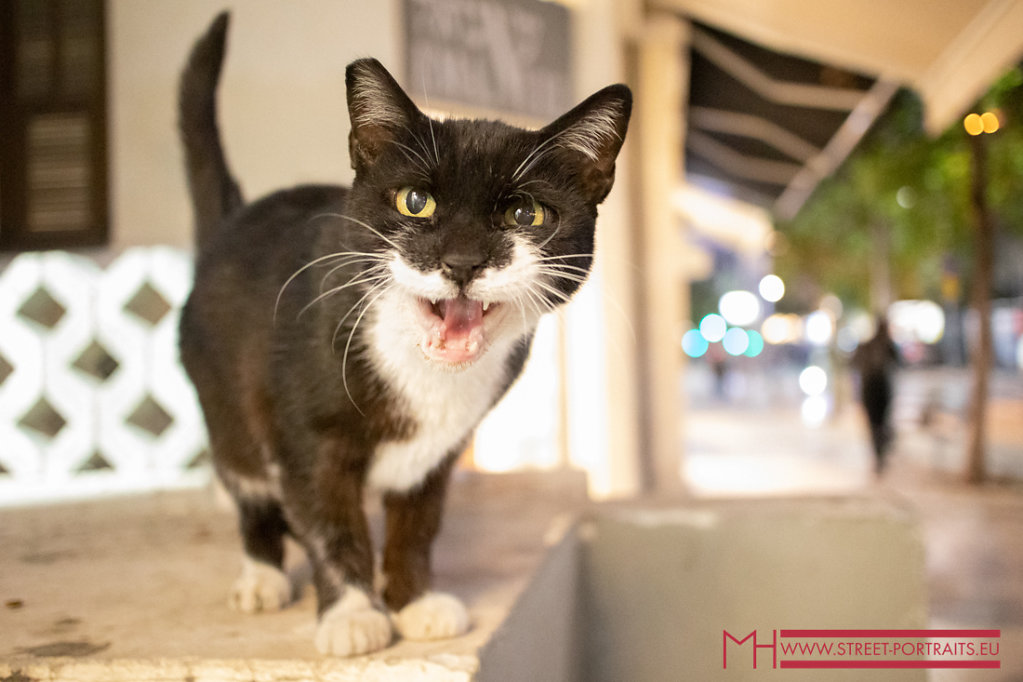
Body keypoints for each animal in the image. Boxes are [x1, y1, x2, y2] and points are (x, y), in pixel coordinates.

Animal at [181, 13, 630, 658]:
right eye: (416, 201)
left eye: (526, 215)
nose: (462, 262)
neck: (424, 375)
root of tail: (230, 222)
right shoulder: (308, 438)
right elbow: (332, 523)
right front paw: (352, 614)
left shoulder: (439, 450)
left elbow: (418, 523)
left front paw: (413, 601)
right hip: (226, 404)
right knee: (248, 481)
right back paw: (263, 574)